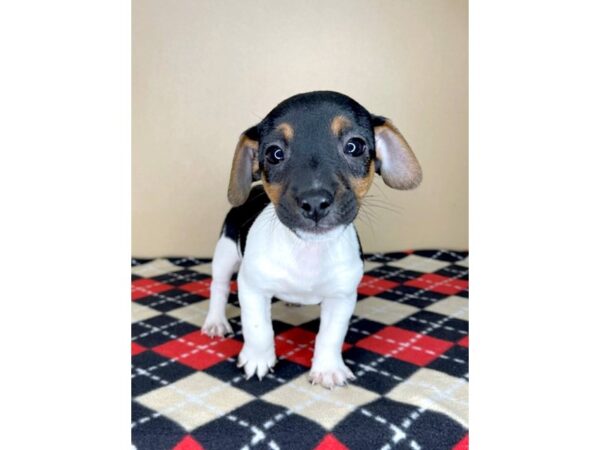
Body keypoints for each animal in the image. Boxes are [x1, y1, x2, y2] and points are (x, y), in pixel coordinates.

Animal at [202, 90, 422, 386]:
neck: (307, 251)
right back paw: (215, 321)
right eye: (274, 153)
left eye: (354, 146)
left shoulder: (342, 297)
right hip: (225, 253)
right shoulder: (252, 288)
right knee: (219, 287)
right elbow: (258, 329)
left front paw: (327, 368)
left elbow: (330, 335)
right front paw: (258, 359)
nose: (315, 202)